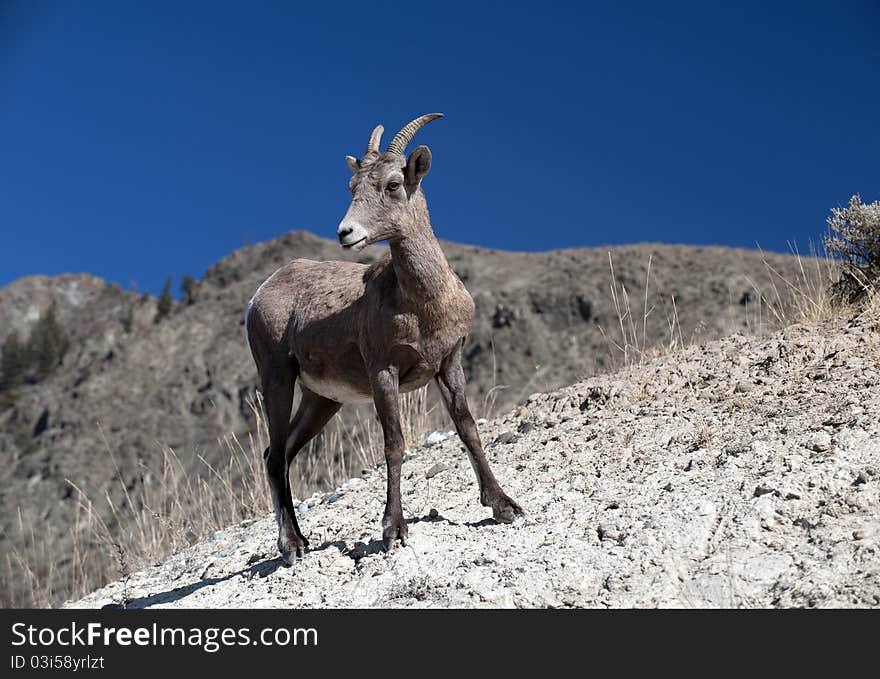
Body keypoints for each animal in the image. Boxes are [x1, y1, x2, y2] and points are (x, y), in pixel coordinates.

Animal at [244, 114, 524, 564]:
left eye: (393, 184)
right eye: (352, 186)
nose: (346, 232)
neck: (423, 303)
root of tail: (259, 296)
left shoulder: (449, 365)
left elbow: (468, 429)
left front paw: (503, 507)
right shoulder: (383, 373)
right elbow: (394, 443)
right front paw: (393, 531)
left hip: (322, 400)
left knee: (282, 454)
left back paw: (302, 540)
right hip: (277, 379)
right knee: (272, 456)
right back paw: (291, 547)